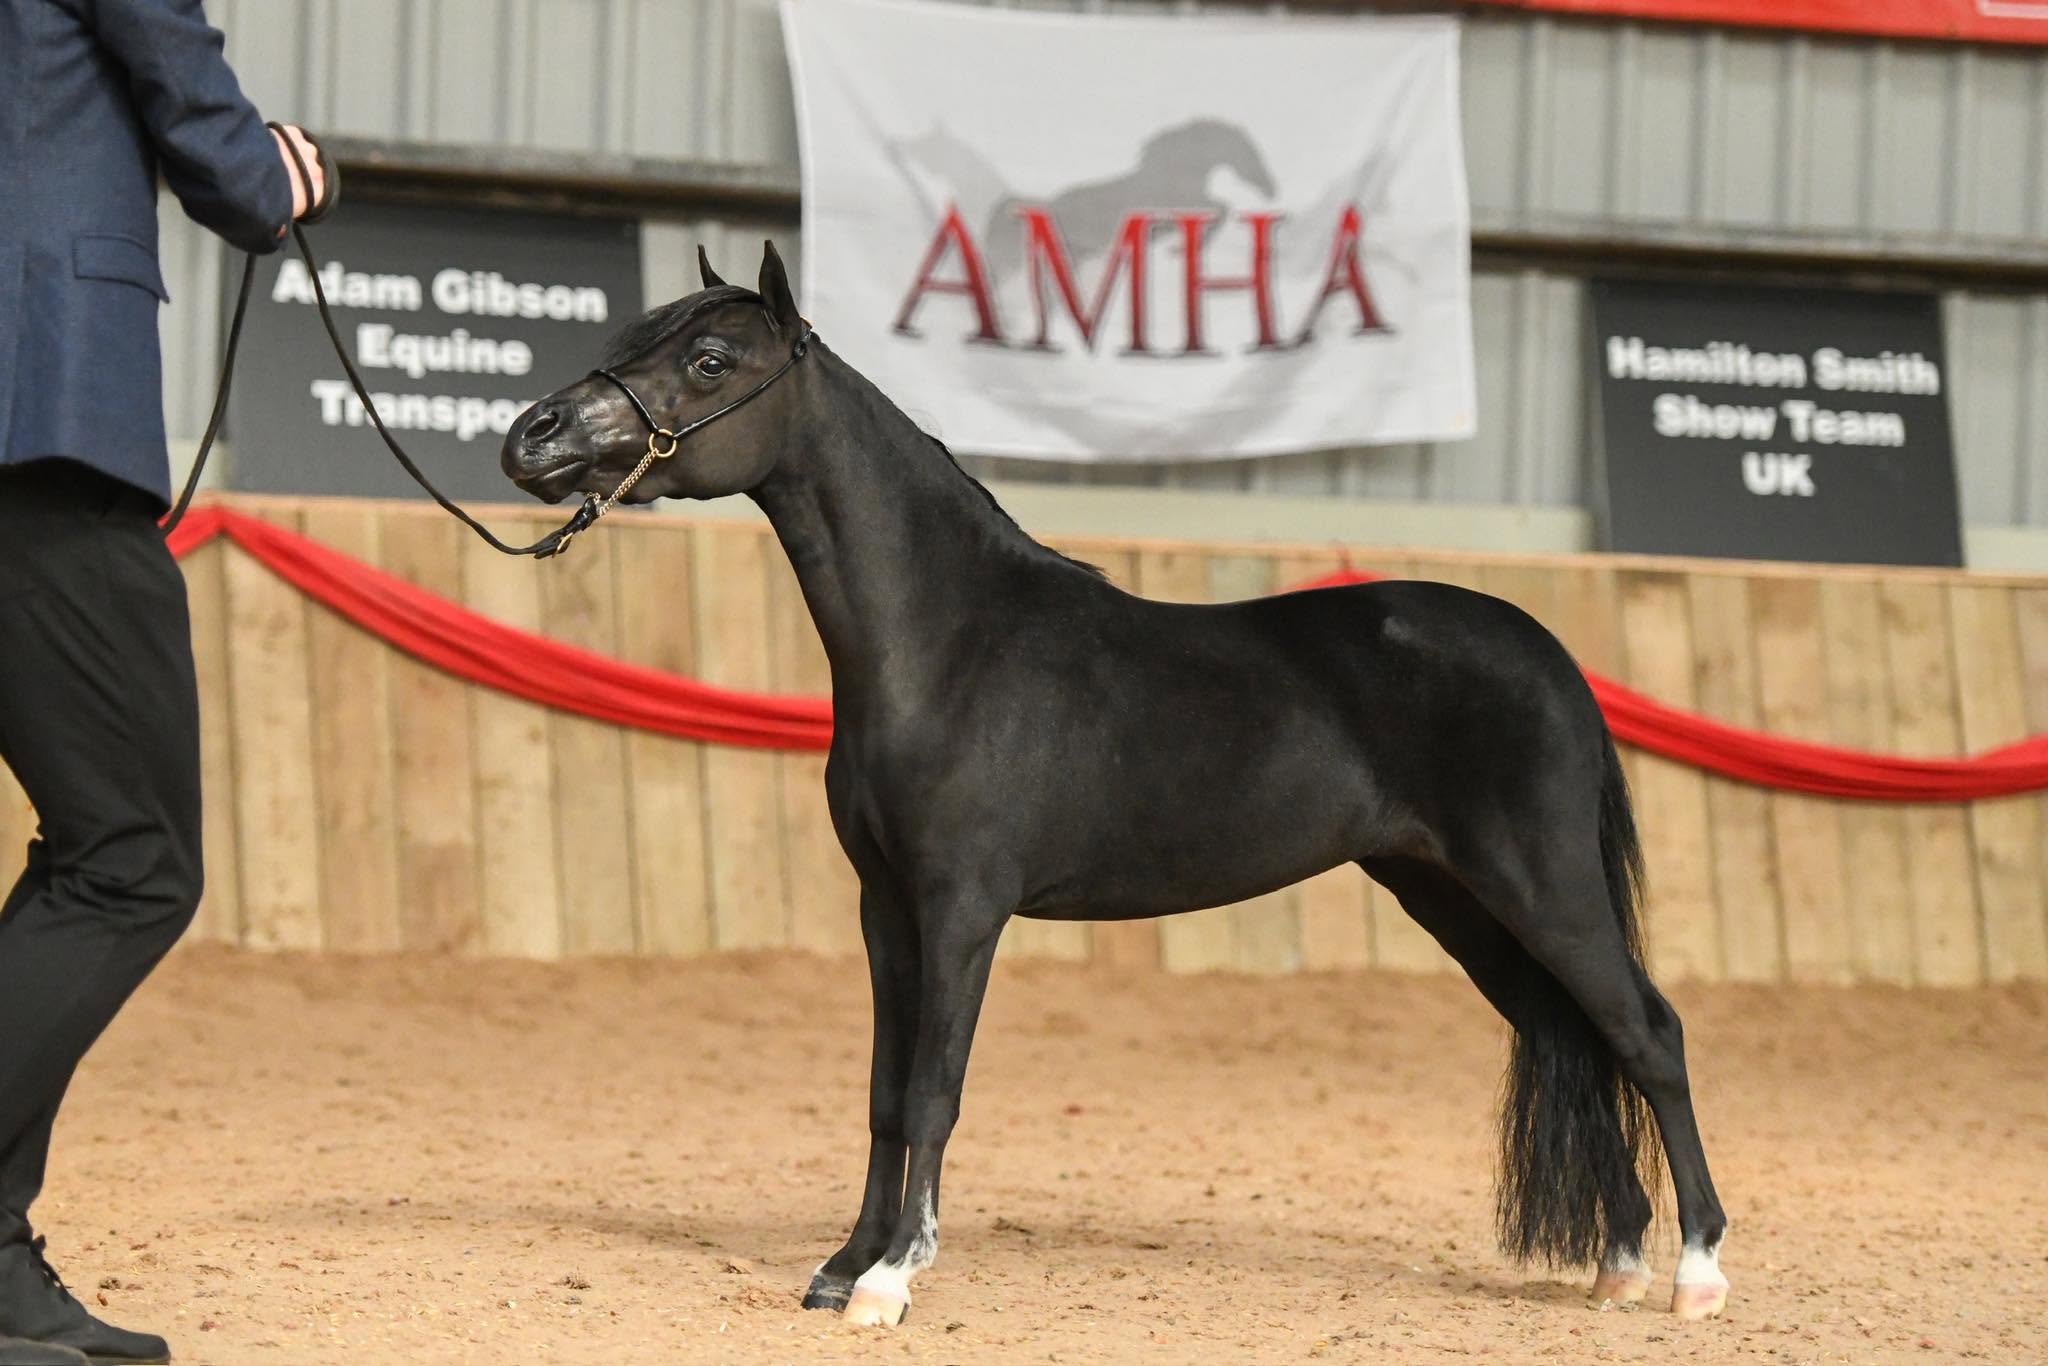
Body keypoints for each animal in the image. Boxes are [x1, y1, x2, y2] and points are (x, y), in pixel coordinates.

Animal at [498, 242, 1730, 1328]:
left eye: (710, 360)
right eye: (632, 342)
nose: (530, 437)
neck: (952, 642)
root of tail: (1548, 653)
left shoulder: (962, 910)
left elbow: (934, 1088)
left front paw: (894, 1278)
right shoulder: (884, 908)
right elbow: (884, 1092)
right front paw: (842, 1267)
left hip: (1543, 887)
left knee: (1650, 1033)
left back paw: (1696, 1273)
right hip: (1455, 900)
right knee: (1572, 1031)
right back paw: (1621, 1263)